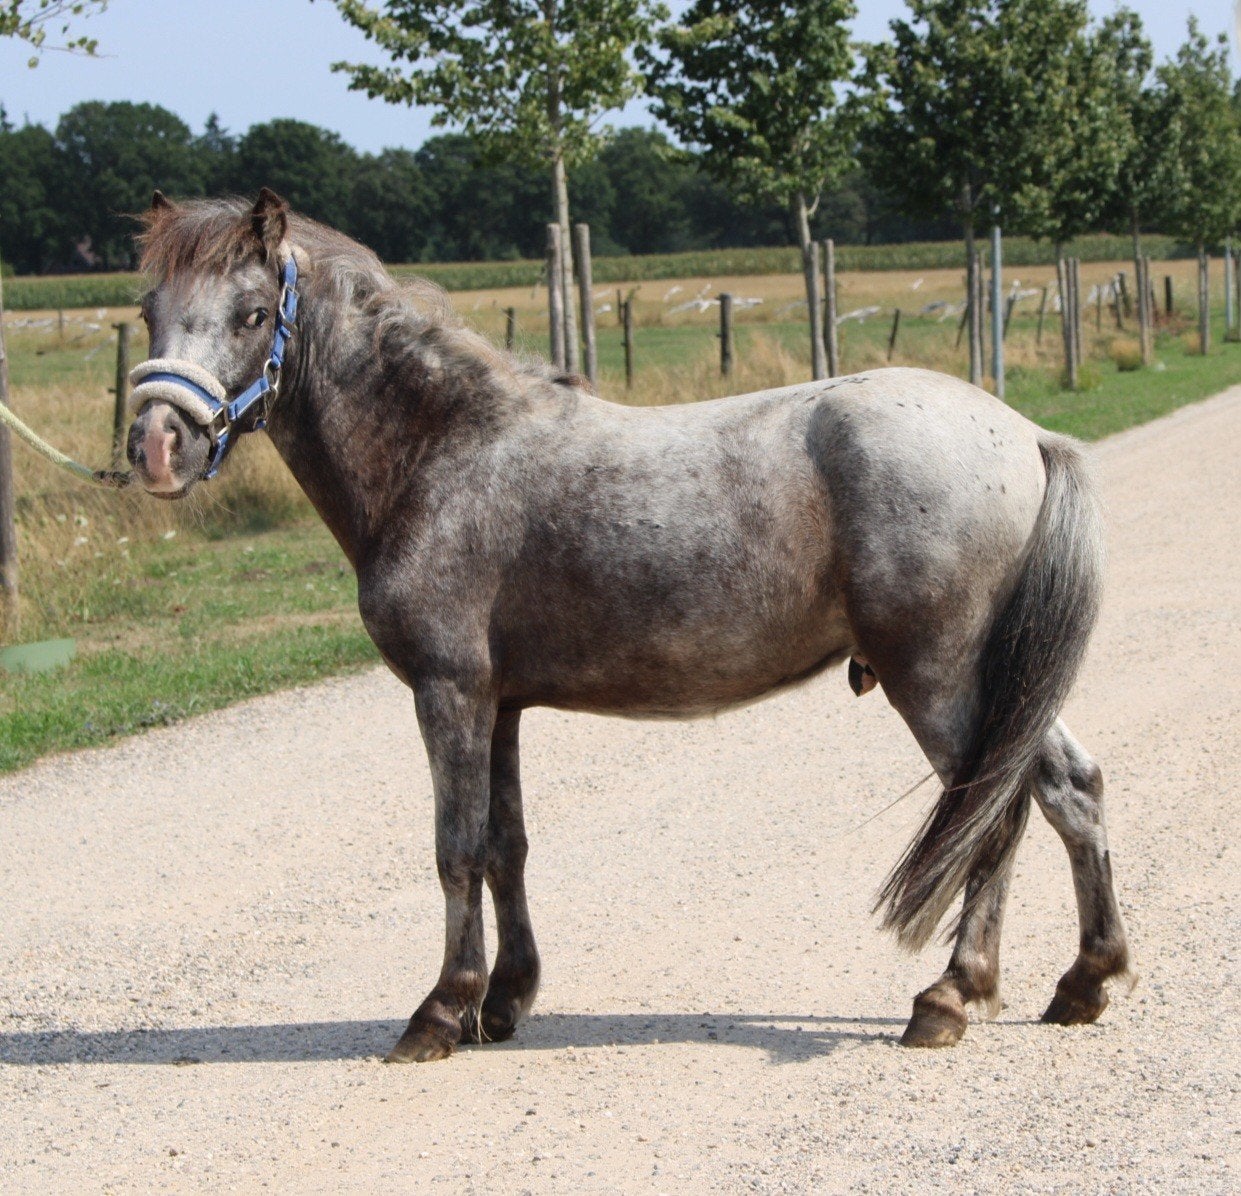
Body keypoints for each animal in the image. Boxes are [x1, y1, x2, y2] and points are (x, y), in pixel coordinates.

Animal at [124, 190, 1132, 1063]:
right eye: (147, 309)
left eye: (253, 313)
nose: (157, 446)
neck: (442, 450)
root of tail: (1024, 435)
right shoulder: (501, 705)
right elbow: (505, 847)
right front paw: (505, 1001)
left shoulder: (449, 693)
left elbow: (456, 850)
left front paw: (442, 1011)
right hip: (1000, 683)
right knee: (1067, 788)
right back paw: (1083, 980)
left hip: (940, 682)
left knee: (993, 813)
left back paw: (949, 995)